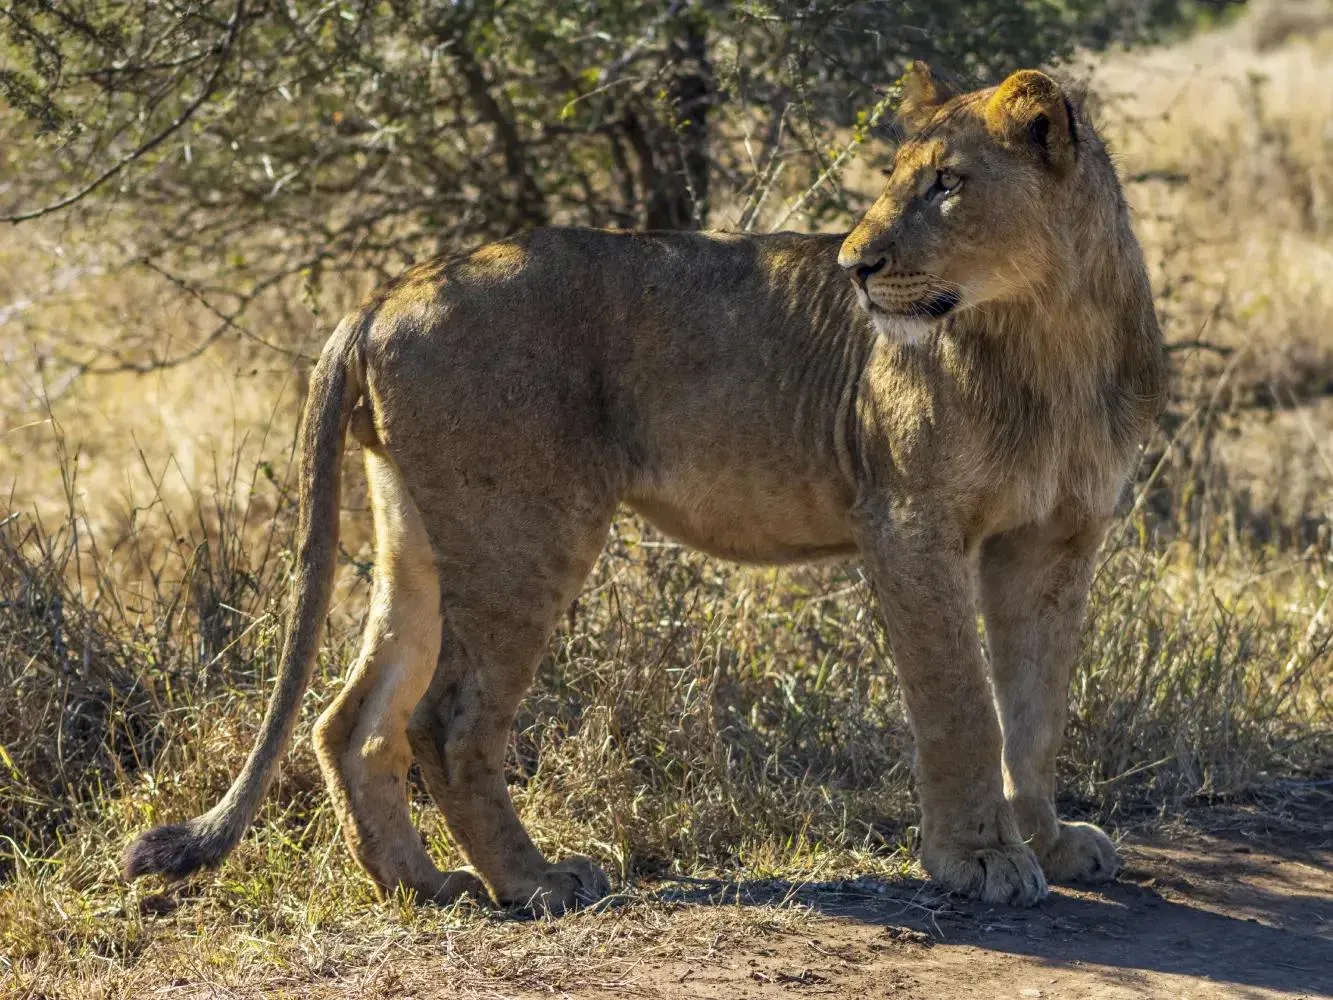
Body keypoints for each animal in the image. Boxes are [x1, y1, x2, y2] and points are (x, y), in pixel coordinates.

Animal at [124, 64, 1166, 913]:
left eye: (948, 184)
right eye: (893, 179)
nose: (852, 266)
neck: (1051, 336)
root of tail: (388, 291)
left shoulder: (1057, 539)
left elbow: (1036, 708)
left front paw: (1050, 843)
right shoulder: (909, 522)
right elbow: (961, 704)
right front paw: (977, 860)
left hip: (416, 528)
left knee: (355, 719)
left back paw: (423, 885)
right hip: (526, 526)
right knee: (445, 719)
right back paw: (537, 882)